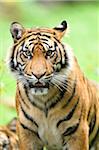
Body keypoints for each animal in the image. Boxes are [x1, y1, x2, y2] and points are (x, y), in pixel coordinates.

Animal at [7, 20, 99, 150]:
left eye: (49, 53)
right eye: (27, 53)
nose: (38, 74)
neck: (43, 99)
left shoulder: (77, 130)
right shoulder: (27, 130)